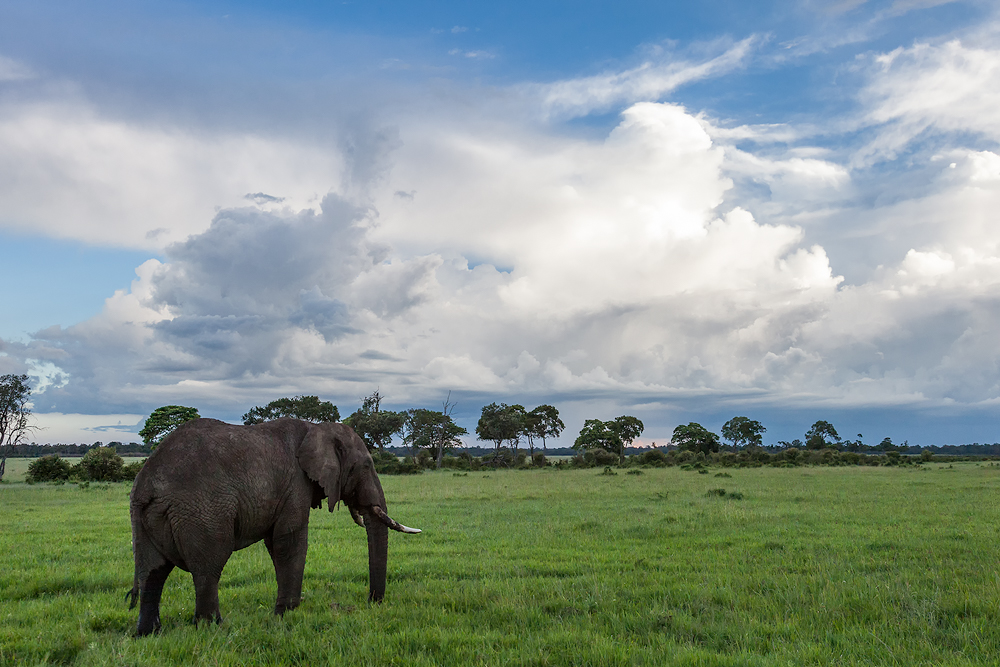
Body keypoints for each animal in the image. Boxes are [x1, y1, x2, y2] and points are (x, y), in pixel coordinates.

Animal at [127, 418, 420, 636]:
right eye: (366, 466)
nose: (372, 603)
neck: (317, 428)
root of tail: (147, 484)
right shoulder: (295, 484)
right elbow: (289, 541)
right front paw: (287, 614)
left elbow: (275, 544)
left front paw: (284, 613)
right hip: (202, 512)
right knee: (208, 567)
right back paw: (214, 627)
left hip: (143, 520)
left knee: (152, 571)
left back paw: (148, 634)